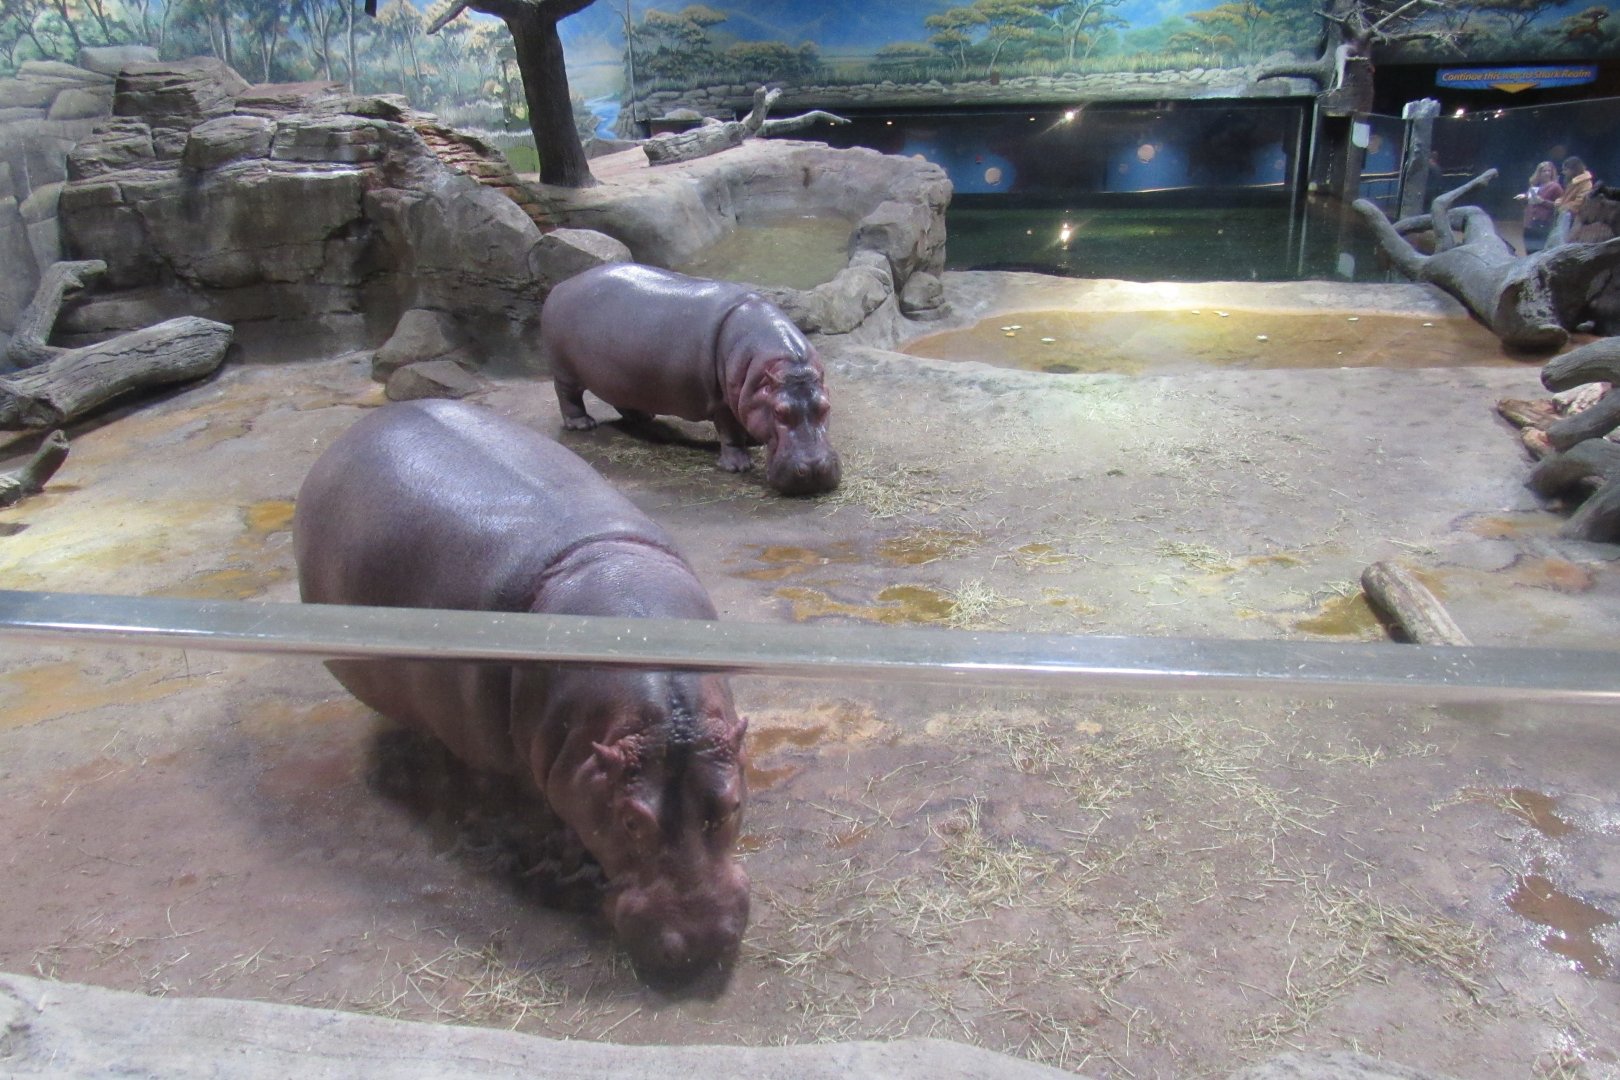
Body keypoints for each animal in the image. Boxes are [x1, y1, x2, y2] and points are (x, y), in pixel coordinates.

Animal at [294, 399, 749, 987]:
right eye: (630, 820)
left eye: (731, 805)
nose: (702, 944)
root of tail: (365, 423)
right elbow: (528, 812)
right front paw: (554, 864)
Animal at [539, 263, 842, 496]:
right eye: (779, 412)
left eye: (826, 407)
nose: (815, 470)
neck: (784, 367)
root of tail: (561, 286)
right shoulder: (721, 402)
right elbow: (730, 433)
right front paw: (739, 466)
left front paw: (753, 441)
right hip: (566, 372)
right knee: (568, 396)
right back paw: (582, 424)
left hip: (623, 377)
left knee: (621, 400)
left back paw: (644, 417)